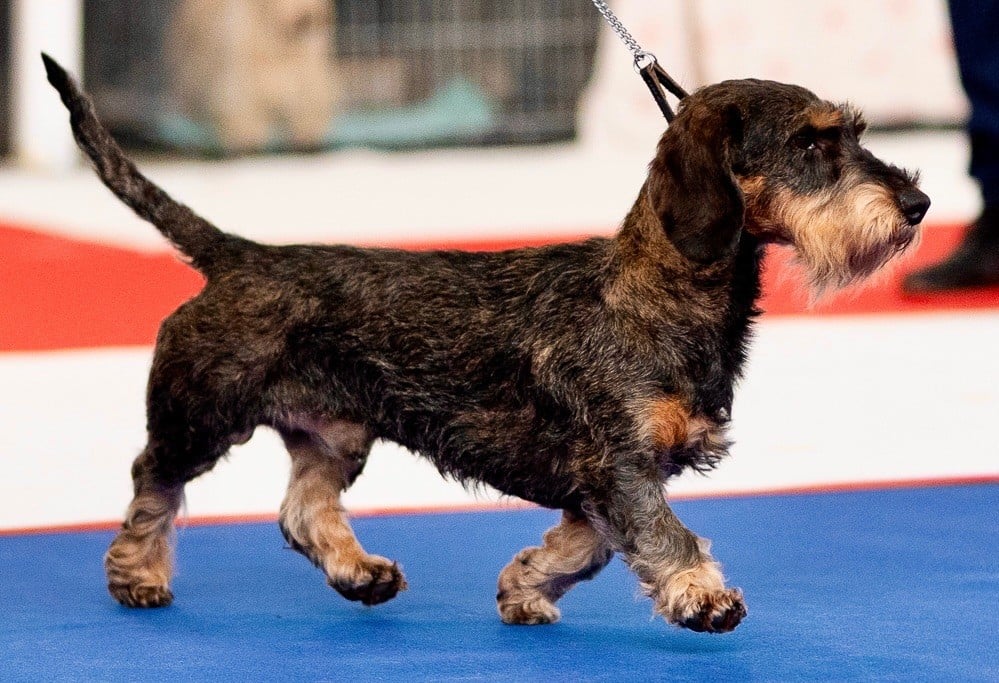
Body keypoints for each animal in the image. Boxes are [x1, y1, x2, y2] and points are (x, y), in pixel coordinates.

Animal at [164, 0, 336, 152]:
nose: (310, 17)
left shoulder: (306, 74)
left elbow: (309, 99)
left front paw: (306, 133)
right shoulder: (236, 73)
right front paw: (246, 137)